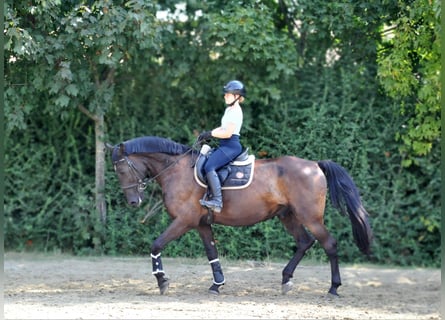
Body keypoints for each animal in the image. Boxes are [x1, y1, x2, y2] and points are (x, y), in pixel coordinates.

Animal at [107, 136, 372, 296]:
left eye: (121, 169)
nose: (133, 202)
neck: (176, 170)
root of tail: (315, 165)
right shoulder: (201, 224)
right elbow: (212, 253)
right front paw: (217, 284)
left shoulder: (183, 221)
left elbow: (156, 244)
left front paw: (162, 281)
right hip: (288, 216)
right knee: (304, 242)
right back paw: (286, 280)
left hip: (311, 218)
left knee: (329, 244)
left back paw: (334, 287)